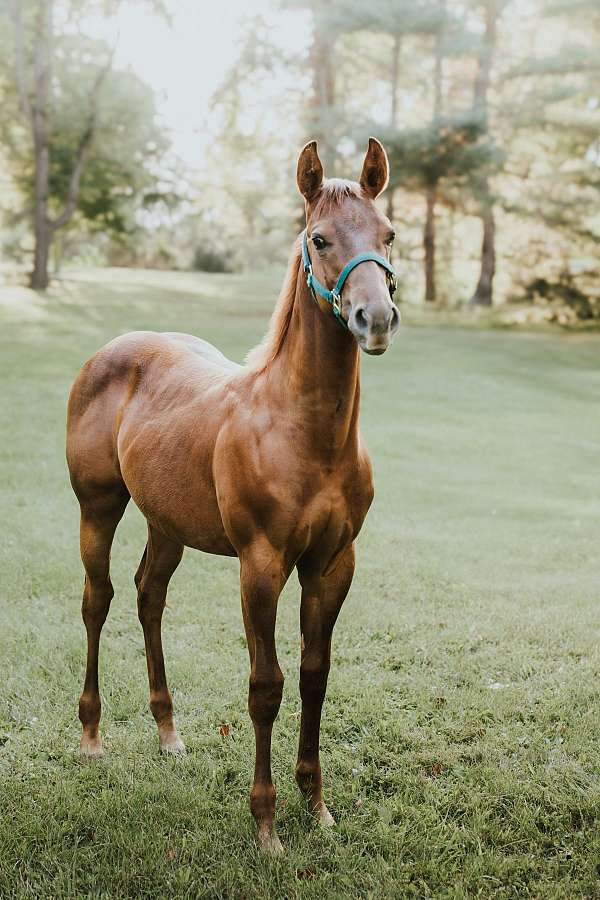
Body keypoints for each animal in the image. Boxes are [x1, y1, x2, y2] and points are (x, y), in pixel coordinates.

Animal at [66, 137, 400, 854]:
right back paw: (92, 736)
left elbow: (314, 676)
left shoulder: (333, 565)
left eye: (388, 234)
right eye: (320, 238)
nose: (376, 319)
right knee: (97, 601)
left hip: (167, 522)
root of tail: (113, 348)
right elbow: (266, 685)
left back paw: (168, 732)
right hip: (97, 507)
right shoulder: (261, 563)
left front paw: (317, 807)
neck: (303, 432)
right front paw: (267, 824)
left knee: (149, 597)